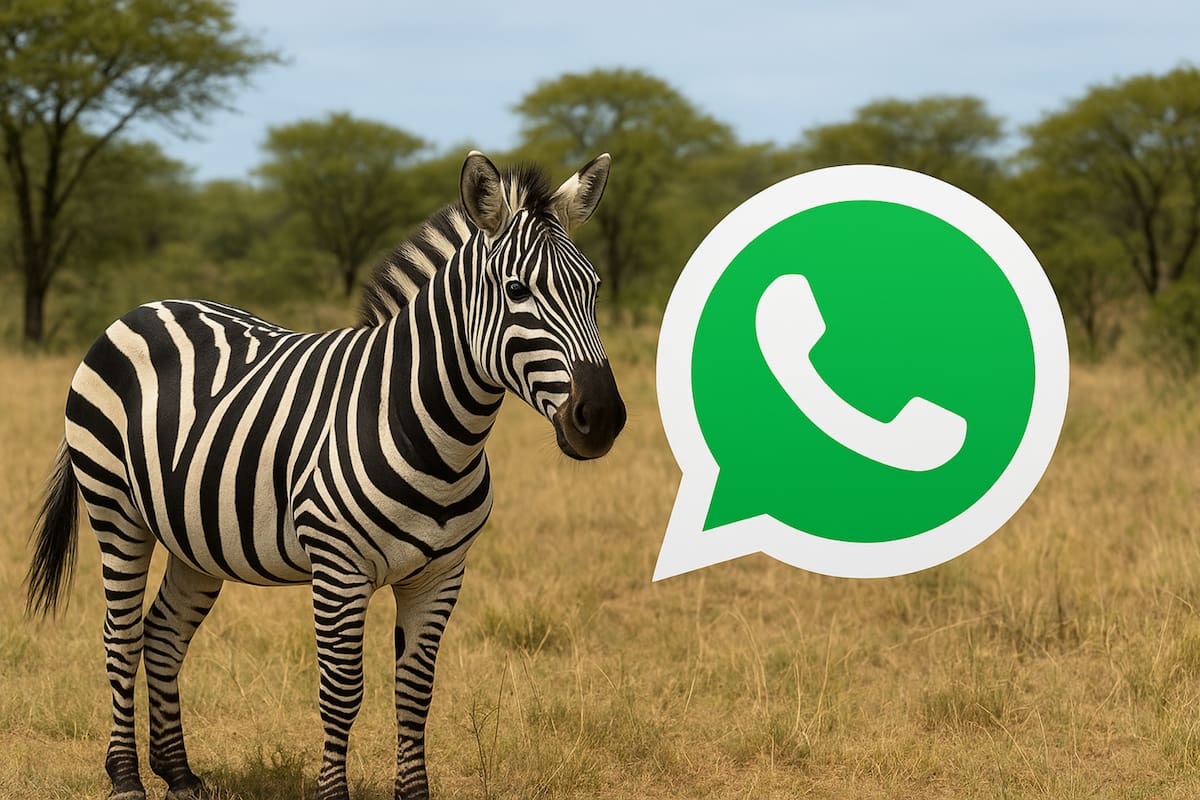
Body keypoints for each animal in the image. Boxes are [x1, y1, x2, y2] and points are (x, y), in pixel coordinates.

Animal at [25, 151, 626, 800]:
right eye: (516, 290)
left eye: (594, 288)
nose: (602, 417)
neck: (430, 431)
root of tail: (140, 309)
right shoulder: (340, 572)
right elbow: (342, 694)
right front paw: (333, 792)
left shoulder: (441, 575)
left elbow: (415, 693)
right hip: (116, 510)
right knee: (121, 636)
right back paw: (125, 778)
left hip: (193, 535)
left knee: (162, 634)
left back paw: (179, 774)